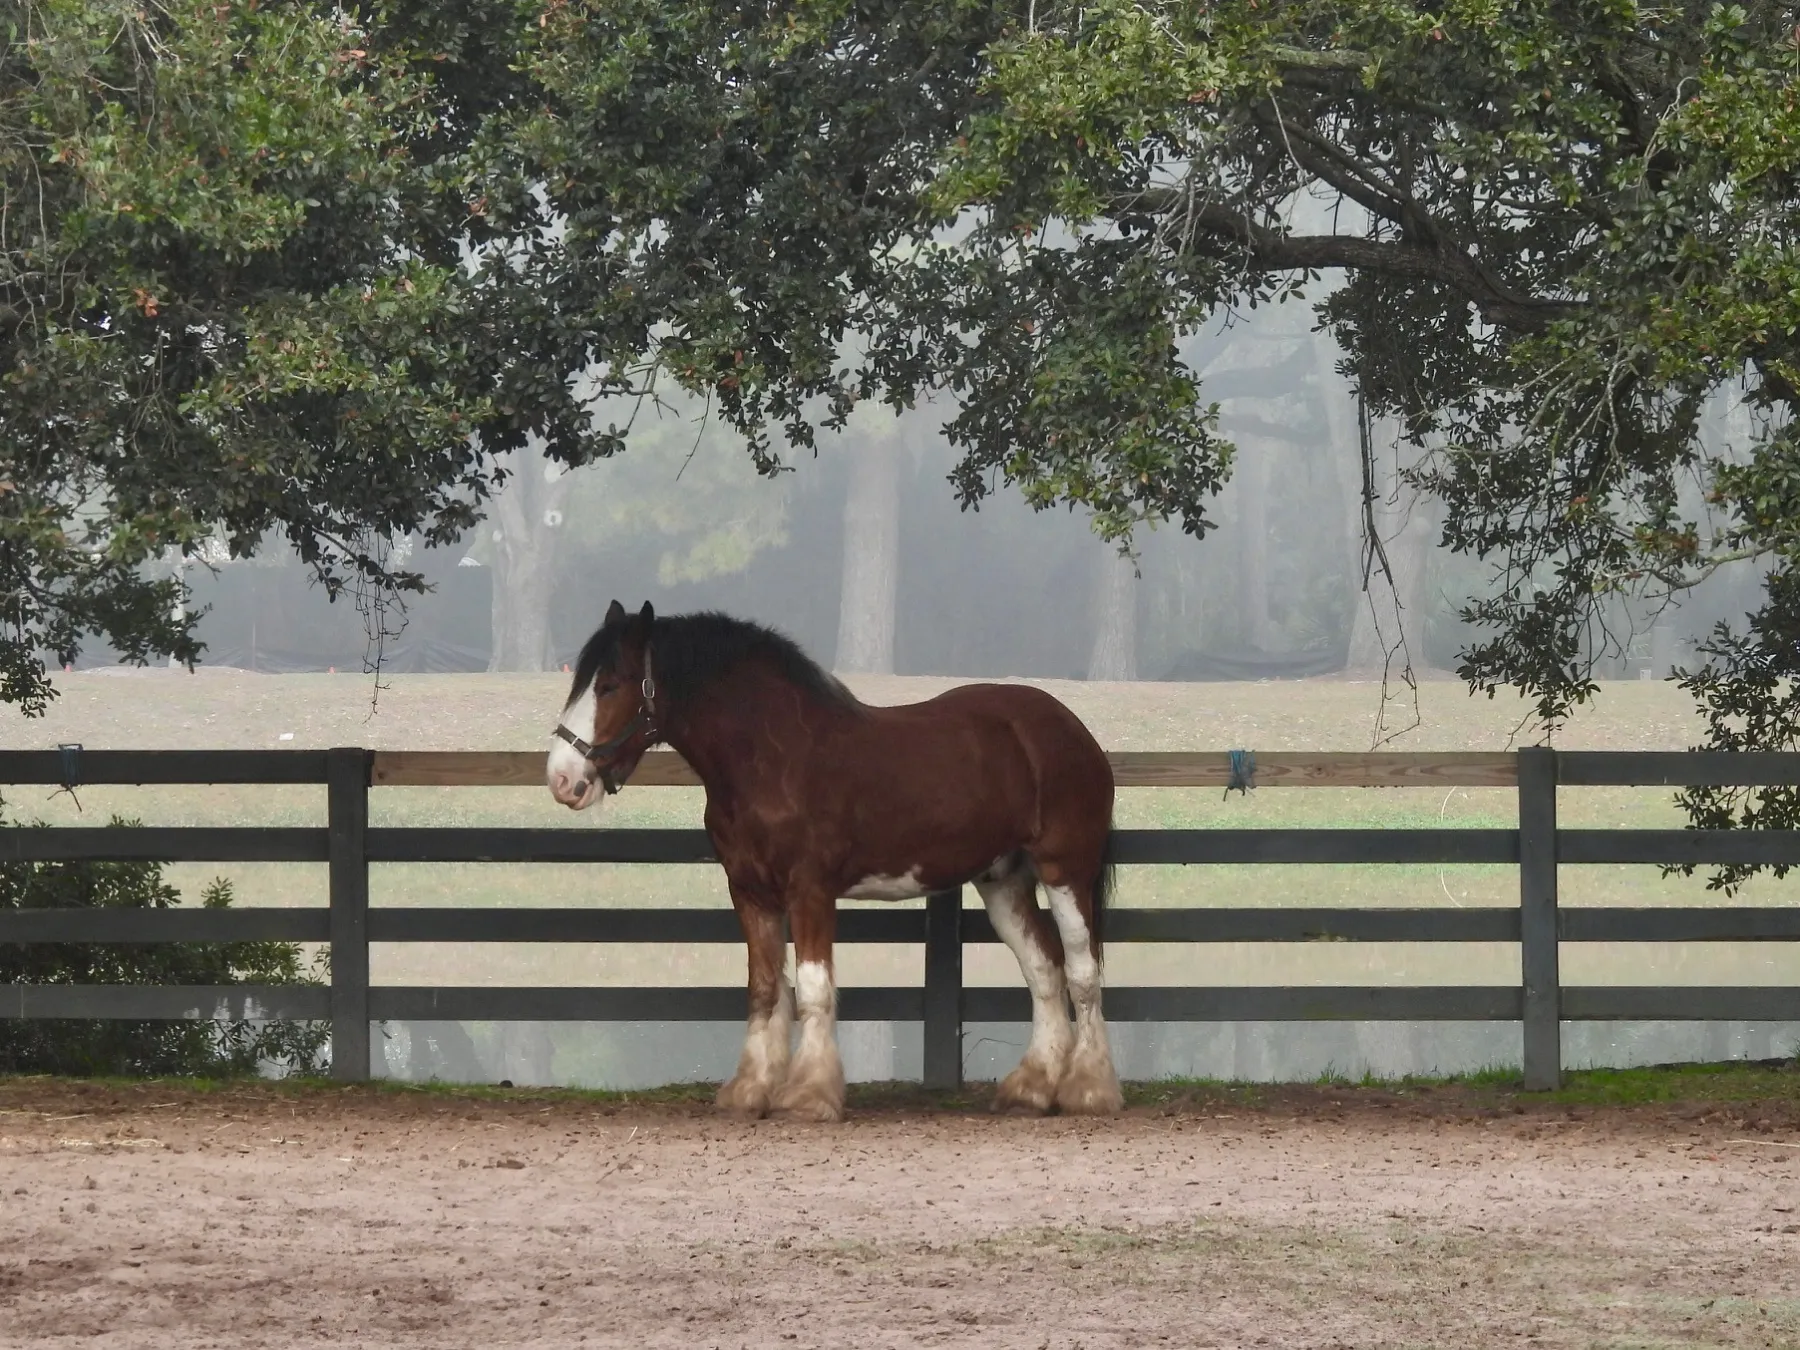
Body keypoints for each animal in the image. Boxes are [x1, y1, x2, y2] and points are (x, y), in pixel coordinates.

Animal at [545, 600, 1122, 1122]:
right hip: (1003, 881)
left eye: (610, 685)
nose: (562, 779)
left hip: (1065, 872)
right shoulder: (750, 892)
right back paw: (1032, 1089)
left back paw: (1089, 1089)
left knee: (1082, 971)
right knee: (1044, 969)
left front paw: (808, 1095)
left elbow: (815, 989)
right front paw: (751, 1090)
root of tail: (1072, 730)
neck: (771, 757)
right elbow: (766, 987)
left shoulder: (810, 891)